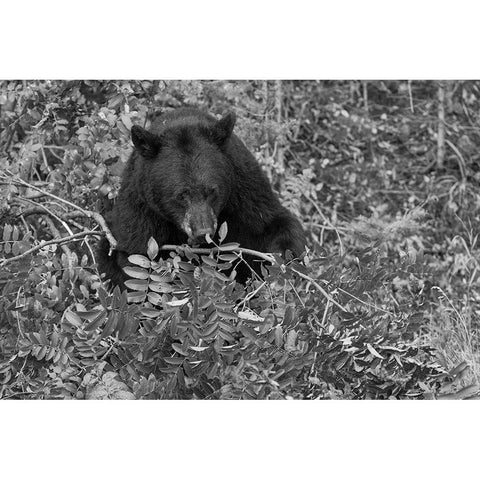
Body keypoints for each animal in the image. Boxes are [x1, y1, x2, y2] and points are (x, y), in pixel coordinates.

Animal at [97, 108, 306, 288]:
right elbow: (137, 257)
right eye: (181, 195)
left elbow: (273, 224)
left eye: (212, 191)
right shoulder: (142, 210)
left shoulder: (246, 188)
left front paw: (283, 262)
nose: (202, 231)